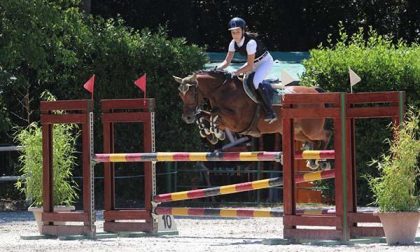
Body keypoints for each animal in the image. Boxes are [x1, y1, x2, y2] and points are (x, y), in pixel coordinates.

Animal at [172, 70, 330, 166]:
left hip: (311, 129)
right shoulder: (225, 120)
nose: (187, 117)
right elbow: (204, 114)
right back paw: (314, 161)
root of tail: (315, 91)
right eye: (180, 94)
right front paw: (210, 134)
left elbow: (215, 114)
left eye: (191, 93)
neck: (222, 90)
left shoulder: (237, 121)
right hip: (299, 132)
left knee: (326, 135)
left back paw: (322, 160)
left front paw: (216, 133)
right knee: (314, 141)